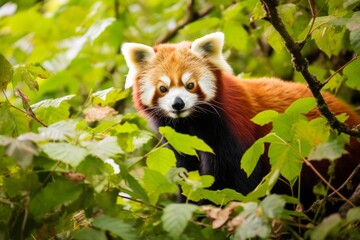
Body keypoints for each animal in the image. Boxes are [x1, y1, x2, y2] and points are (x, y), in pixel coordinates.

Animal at [121, 32, 360, 212]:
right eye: (163, 88)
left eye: (190, 85)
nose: (177, 104)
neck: (192, 123)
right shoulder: (179, 142)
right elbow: (187, 176)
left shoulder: (232, 131)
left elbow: (237, 182)